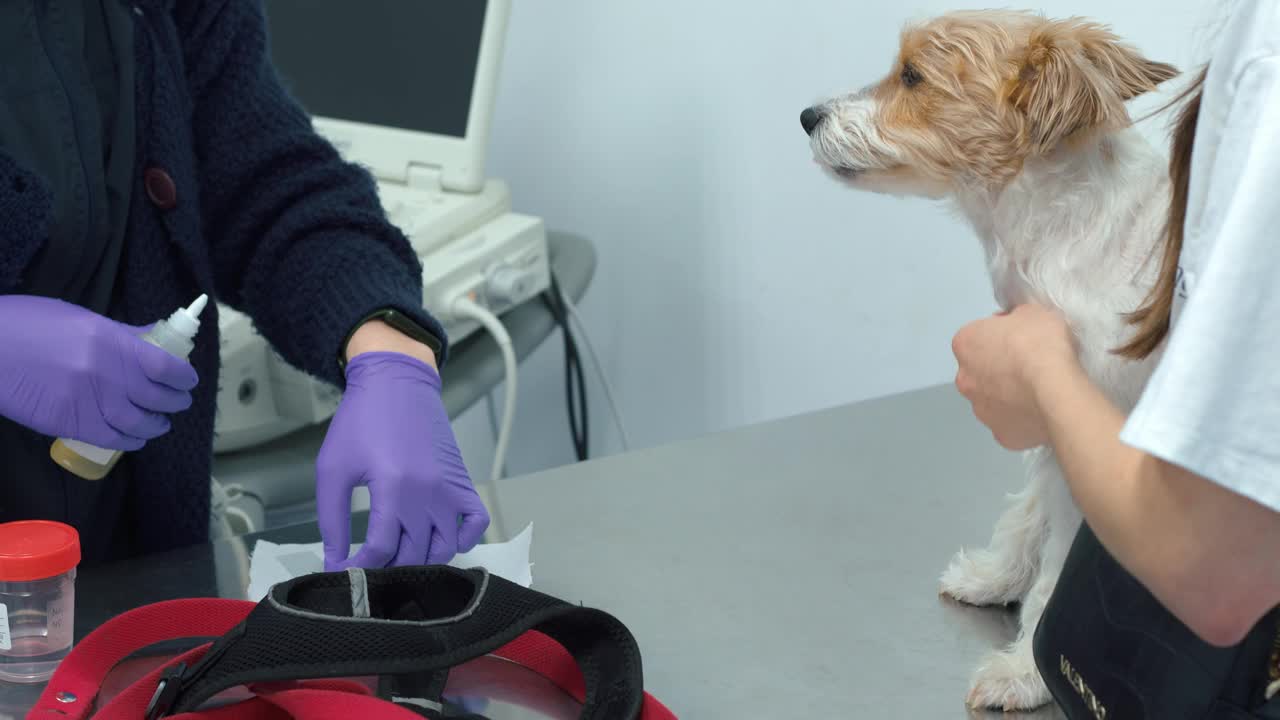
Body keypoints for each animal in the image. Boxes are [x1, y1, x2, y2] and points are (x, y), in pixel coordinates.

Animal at [803, 8, 1172, 707]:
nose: (808, 115)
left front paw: (1026, 671)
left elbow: (1059, 567)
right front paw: (997, 577)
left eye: (912, 76)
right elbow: (1029, 512)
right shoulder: (1046, 414)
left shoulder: (1092, 445)